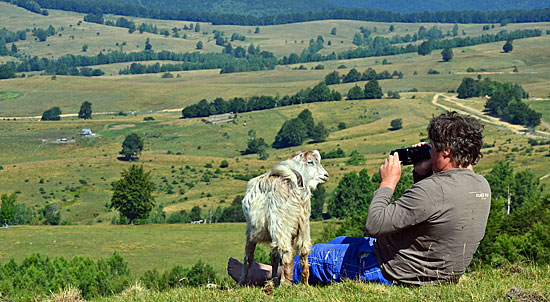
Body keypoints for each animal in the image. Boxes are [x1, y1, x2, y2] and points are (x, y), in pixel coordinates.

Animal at [240, 150, 328, 286]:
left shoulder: (251, 232)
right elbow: (274, 257)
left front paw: (242, 282)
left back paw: (285, 283)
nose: (325, 175)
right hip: (303, 224)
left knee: (286, 251)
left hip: (280, 224)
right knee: (304, 250)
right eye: (310, 162)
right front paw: (273, 280)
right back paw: (304, 282)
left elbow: (248, 257)